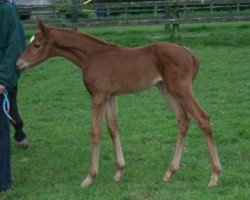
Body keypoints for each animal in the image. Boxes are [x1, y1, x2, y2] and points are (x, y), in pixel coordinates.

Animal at [17, 19, 221, 188]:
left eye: (37, 45)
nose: (19, 65)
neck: (92, 56)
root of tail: (187, 51)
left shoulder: (98, 96)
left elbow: (95, 132)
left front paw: (90, 177)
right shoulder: (110, 96)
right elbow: (112, 128)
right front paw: (119, 172)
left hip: (181, 89)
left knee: (203, 118)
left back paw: (214, 175)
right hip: (166, 89)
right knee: (183, 120)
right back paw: (170, 172)